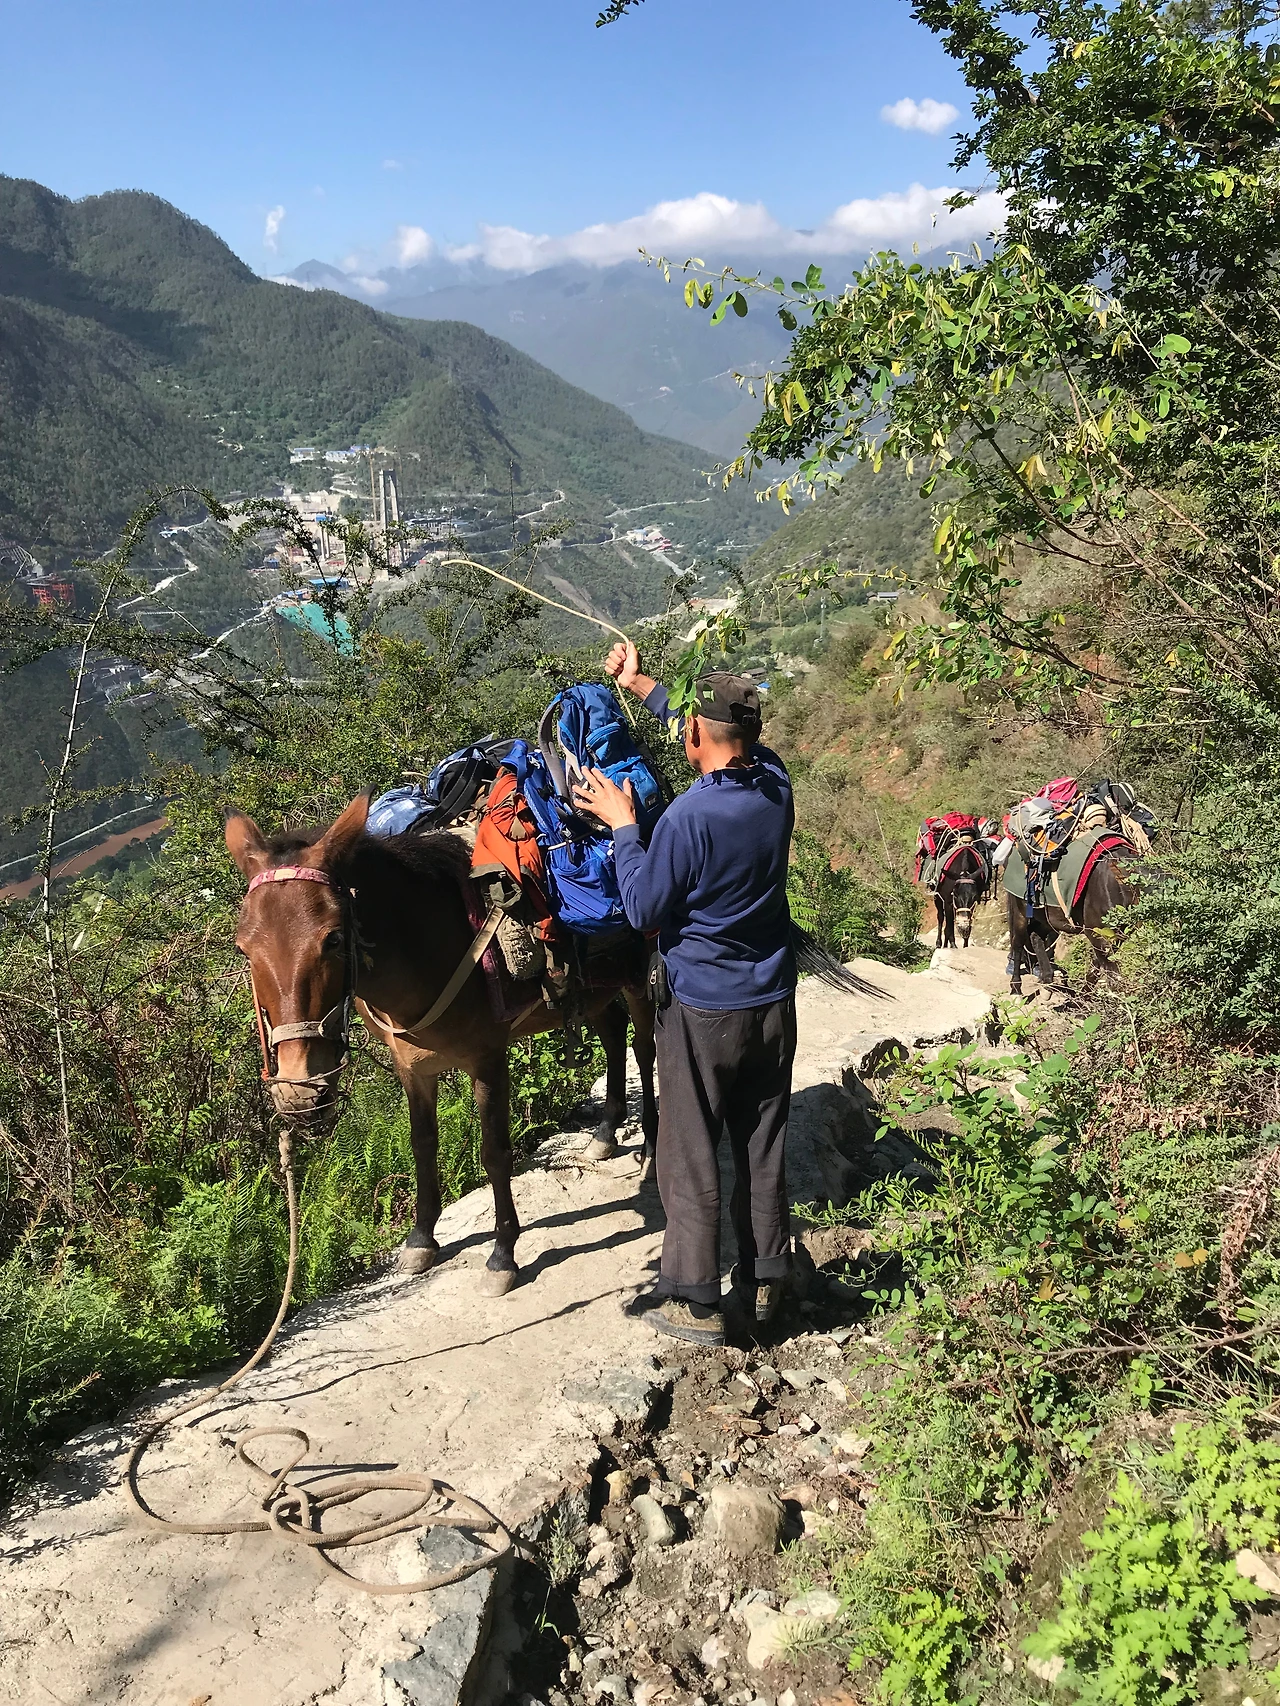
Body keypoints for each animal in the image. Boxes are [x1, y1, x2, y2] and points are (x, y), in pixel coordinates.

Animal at [224, 791, 657, 1296]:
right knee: (612, 1032)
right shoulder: (412, 1069)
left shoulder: (488, 1060)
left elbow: (494, 1153)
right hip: (594, 991)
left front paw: (503, 1254)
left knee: (644, 1048)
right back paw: (605, 1134)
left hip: (637, 975)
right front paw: (421, 1239)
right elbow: (422, 1144)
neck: (426, 947)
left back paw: (651, 1152)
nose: (299, 1094)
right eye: (244, 948)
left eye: (332, 939)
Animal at [1006, 848, 1137, 997]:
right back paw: (1016, 989)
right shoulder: (1096, 934)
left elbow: (1097, 965)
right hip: (1021, 913)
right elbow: (1111, 972)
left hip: (1047, 919)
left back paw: (1047, 980)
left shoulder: (1115, 937)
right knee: (1018, 943)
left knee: (1035, 936)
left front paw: (1083, 995)